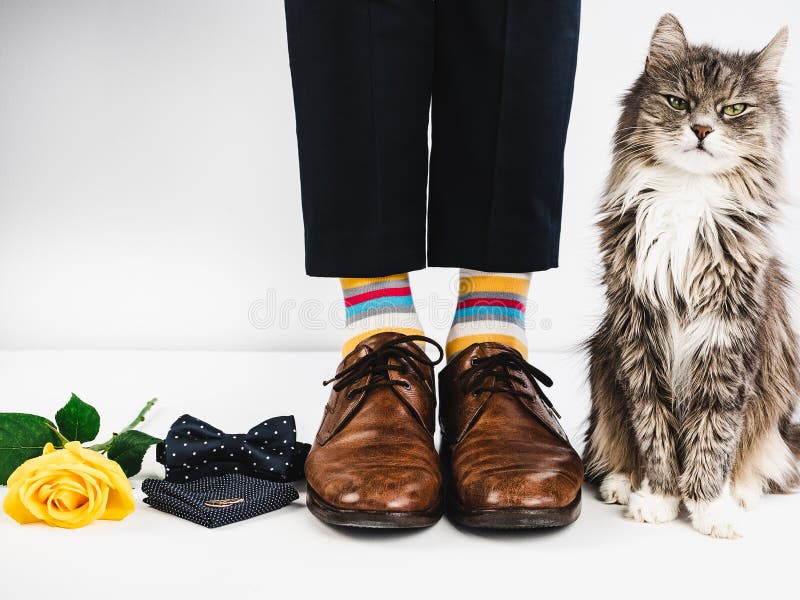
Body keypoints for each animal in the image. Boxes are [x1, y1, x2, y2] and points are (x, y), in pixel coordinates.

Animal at [584, 14, 796, 540]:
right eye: (678, 102)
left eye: (734, 109)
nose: (701, 128)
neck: (688, 196)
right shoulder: (637, 335)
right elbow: (652, 427)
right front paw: (659, 497)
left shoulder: (727, 335)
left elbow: (714, 433)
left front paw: (709, 508)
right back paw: (622, 483)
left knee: (767, 459)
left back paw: (740, 493)